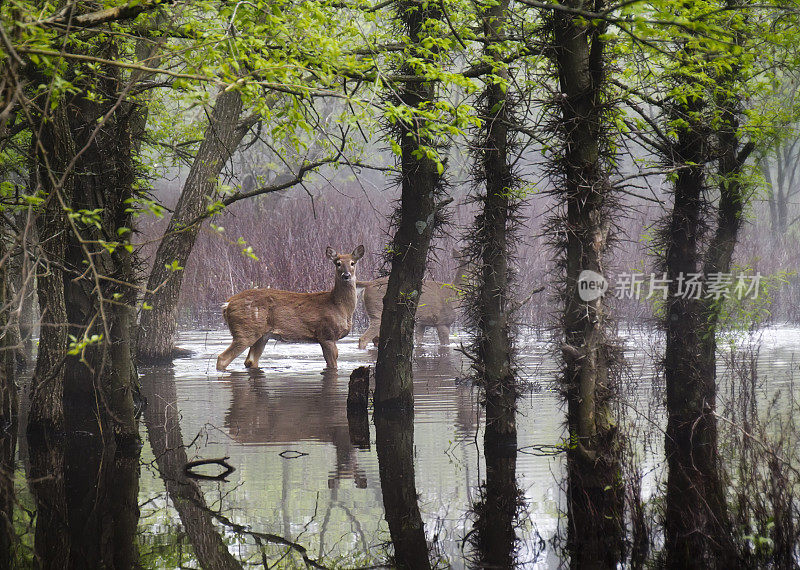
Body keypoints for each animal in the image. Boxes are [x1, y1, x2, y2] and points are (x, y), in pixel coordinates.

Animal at [216, 245, 366, 370]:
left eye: (353, 263)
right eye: (338, 263)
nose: (346, 275)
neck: (340, 307)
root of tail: (227, 304)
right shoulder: (326, 334)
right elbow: (332, 365)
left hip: (262, 335)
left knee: (250, 361)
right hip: (245, 330)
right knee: (223, 358)